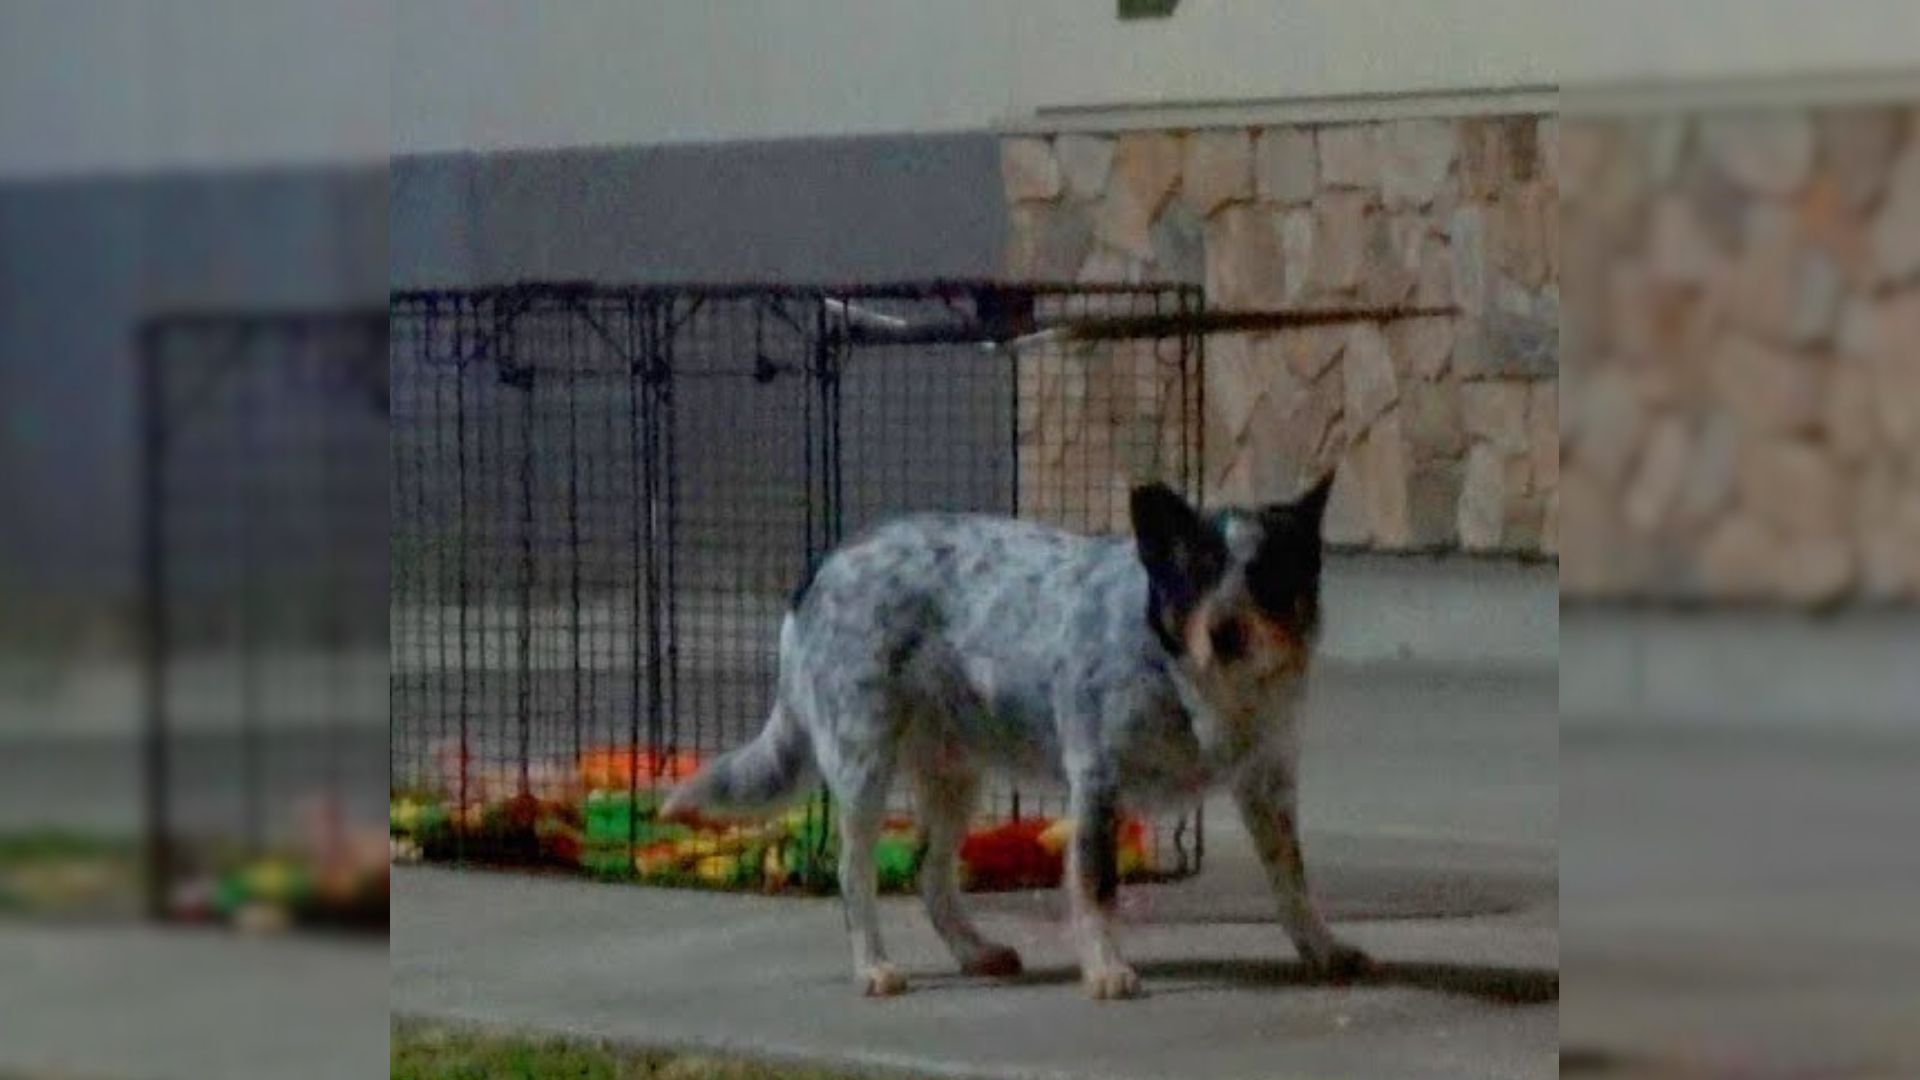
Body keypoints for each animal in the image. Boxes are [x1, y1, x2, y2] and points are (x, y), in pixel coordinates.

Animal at [660, 474, 1367, 999]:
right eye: (1195, 573)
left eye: (1268, 575)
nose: (1225, 634)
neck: (1181, 673)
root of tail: (826, 564)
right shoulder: (1097, 783)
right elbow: (1096, 886)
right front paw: (1106, 970)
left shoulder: (1267, 783)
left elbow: (1292, 879)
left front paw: (1321, 948)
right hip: (862, 765)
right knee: (853, 872)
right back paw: (874, 967)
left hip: (956, 777)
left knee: (931, 875)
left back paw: (975, 951)